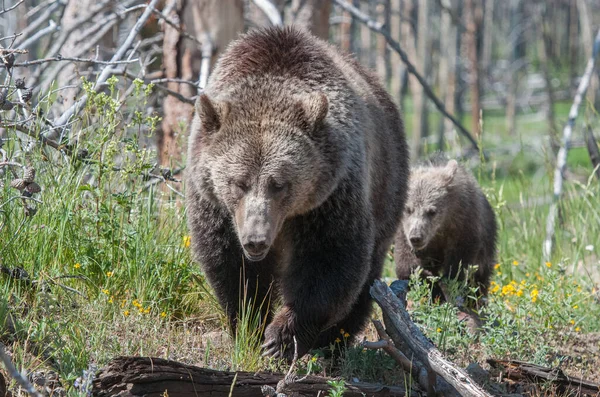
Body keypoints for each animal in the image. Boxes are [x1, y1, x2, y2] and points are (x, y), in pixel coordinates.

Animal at [184, 26, 408, 360]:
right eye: (239, 182)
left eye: (279, 183)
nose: (255, 239)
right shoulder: (216, 207)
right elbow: (231, 267)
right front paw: (250, 327)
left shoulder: (331, 197)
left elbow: (329, 261)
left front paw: (280, 338)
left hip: (387, 183)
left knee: (368, 276)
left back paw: (333, 341)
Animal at [394, 156, 496, 304]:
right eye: (408, 209)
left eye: (432, 211)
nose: (416, 237)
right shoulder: (404, 231)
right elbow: (405, 262)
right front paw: (429, 281)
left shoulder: (464, 223)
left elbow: (459, 262)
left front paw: (448, 285)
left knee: (480, 277)